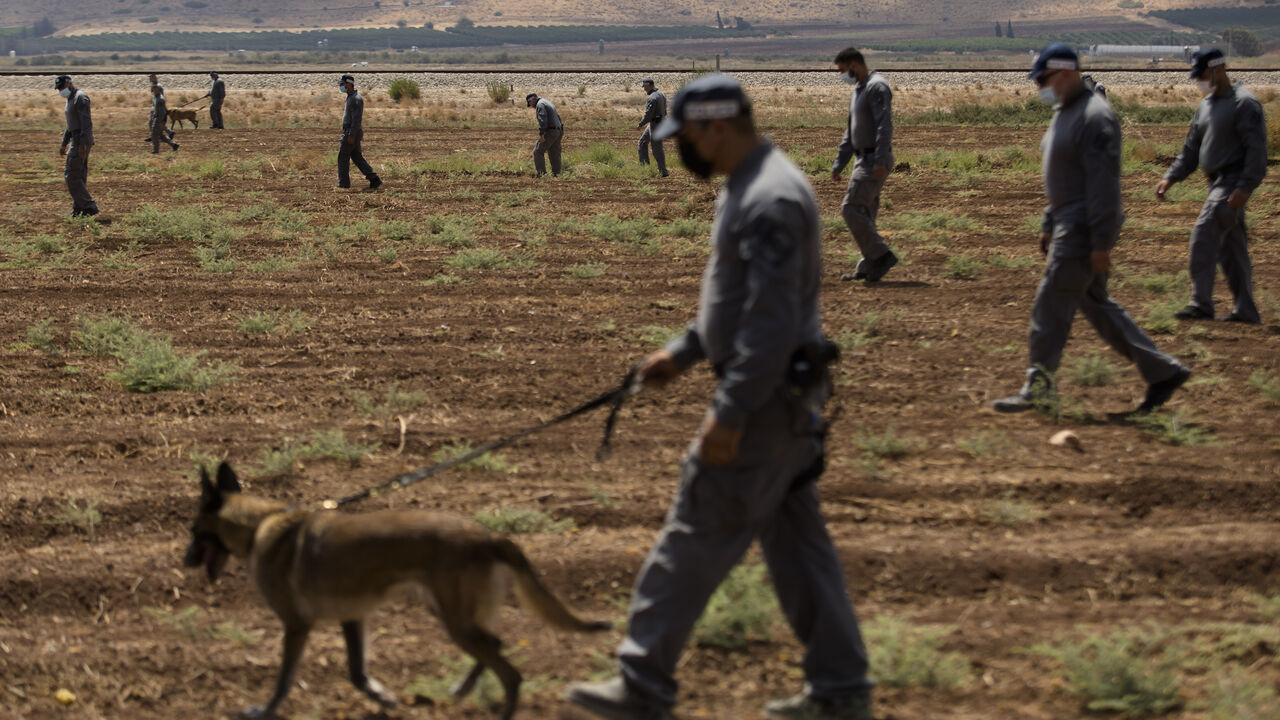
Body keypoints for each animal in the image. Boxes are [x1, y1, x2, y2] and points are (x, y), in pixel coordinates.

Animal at [181, 461, 614, 712]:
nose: (183, 561)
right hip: (452, 614)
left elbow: (283, 682)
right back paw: (461, 690)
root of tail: (489, 536)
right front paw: (384, 699)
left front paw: (265, 710)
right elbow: (357, 673)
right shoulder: (352, 618)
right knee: (495, 646)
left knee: (510, 674)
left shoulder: (296, 627)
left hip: (456, 621)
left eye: (192, 531)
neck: (259, 527)